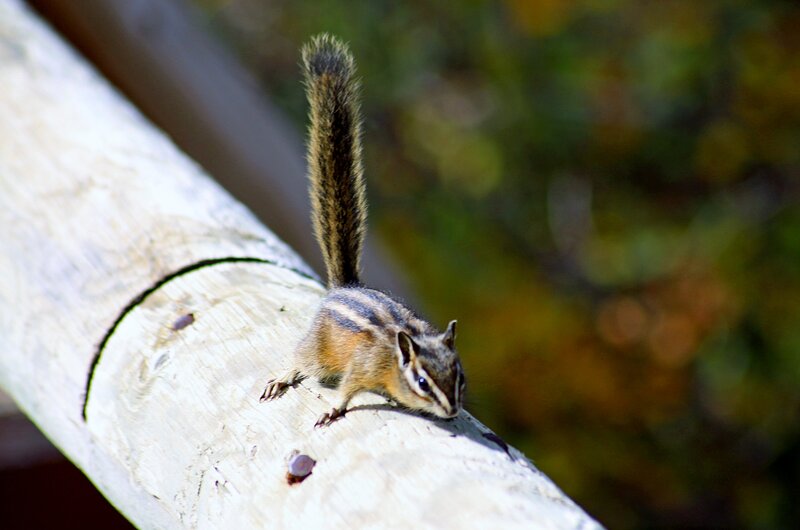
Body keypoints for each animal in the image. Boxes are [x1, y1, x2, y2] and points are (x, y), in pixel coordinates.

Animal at [260, 34, 466, 428]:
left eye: (460, 376)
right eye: (422, 381)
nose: (452, 412)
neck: (396, 359)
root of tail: (346, 287)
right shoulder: (361, 367)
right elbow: (348, 389)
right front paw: (336, 409)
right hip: (318, 349)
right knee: (301, 358)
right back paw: (283, 377)